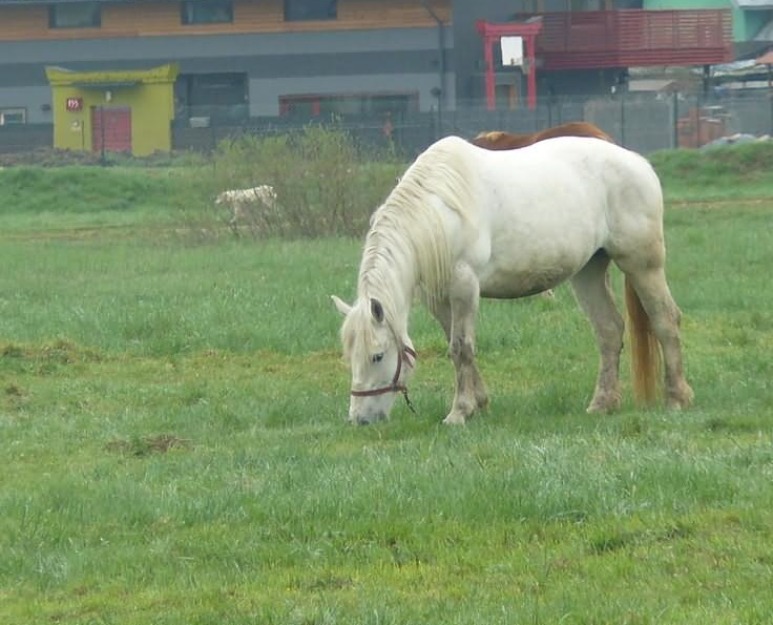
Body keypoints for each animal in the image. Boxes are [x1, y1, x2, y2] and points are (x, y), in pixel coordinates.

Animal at [332, 135, 692, 424]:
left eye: (377, 356)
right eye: (350, 356)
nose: (360, 419)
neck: (438, 213)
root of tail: (638, 163)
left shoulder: (465, 286)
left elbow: (461, 348)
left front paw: (459, 412)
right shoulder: (440, 298)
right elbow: (455, 345)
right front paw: (479, 404)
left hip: (642, 264)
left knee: (665, 320)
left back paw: (677, 398)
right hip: (588, 271)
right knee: (609, 330)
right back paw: (602, 403)